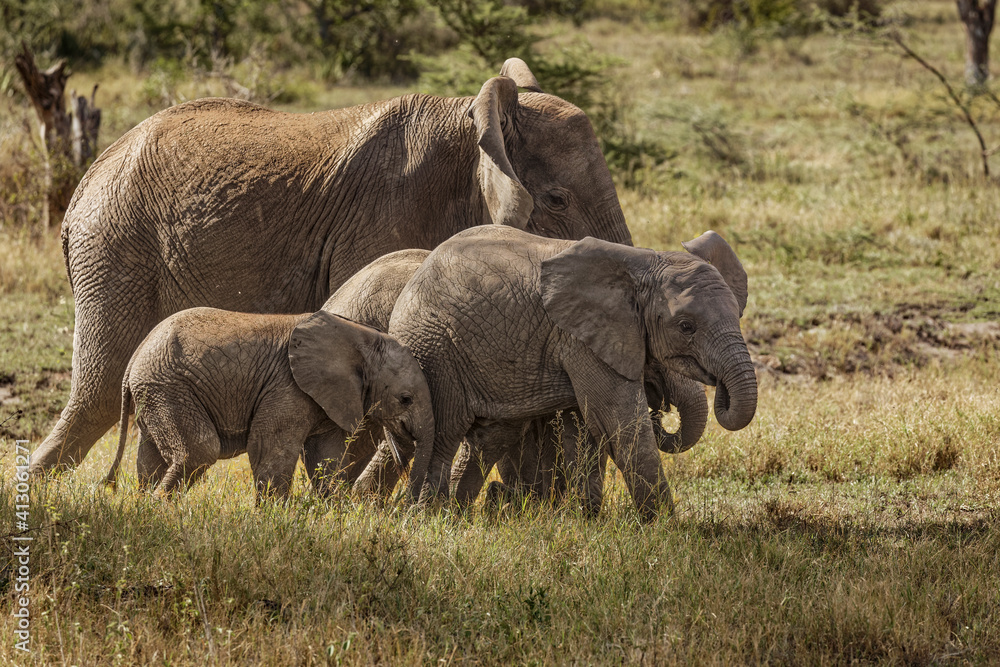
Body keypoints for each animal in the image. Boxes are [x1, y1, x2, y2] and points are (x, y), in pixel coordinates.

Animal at [30, 56, 633, 475]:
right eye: (556, 200)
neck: (471, 121)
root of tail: (88, 177)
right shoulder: (387, 216)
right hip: (115, 248)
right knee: (99, 393)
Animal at [104, 307, 433, 500]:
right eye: (405, 399)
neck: (362, 337)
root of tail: (135, 357)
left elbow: (325, 456)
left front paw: (332, 513)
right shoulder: (288, 386)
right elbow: (269, 447)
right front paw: (275, 518)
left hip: (155, 392)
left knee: (150, 459)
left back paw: (146, 507)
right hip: (168, 387)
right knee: (199, 450)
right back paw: (160, 505)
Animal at [374, 225, 756, 521]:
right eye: (686, 326)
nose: (661, 408)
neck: (642, 262)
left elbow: (585, 428)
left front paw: (589, 520)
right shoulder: (579, 340)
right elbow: (616, 422)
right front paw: (664, 528)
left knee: (490, 437)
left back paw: (456, 514)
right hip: (434, 349)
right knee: (443, 432)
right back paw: (428, 517)